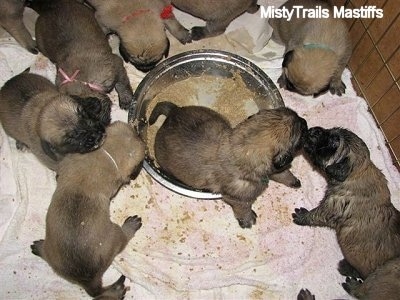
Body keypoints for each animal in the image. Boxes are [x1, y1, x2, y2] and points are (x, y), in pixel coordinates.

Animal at [30, 120, 145, 298]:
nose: (139, 135)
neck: (104, 152)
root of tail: (88, 281)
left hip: (53, 254)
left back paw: (39, 248)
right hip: (115, 235)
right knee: (124, 237)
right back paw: (131, 225)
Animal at [148, 102, 308, 229]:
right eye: (301, 133)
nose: (305, 121)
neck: (242, 150)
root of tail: (173, 112)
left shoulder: (274, 169)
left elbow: (283, 173)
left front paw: (293, 181)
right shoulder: (237, 199)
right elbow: (244, 208)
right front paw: (248, 219)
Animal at [290, 126, 400, 292]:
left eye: (334, 142)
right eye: (330, 131)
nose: (313, 130)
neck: (355, 173)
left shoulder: (333, 206)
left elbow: (317, 214)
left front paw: (302, 216)